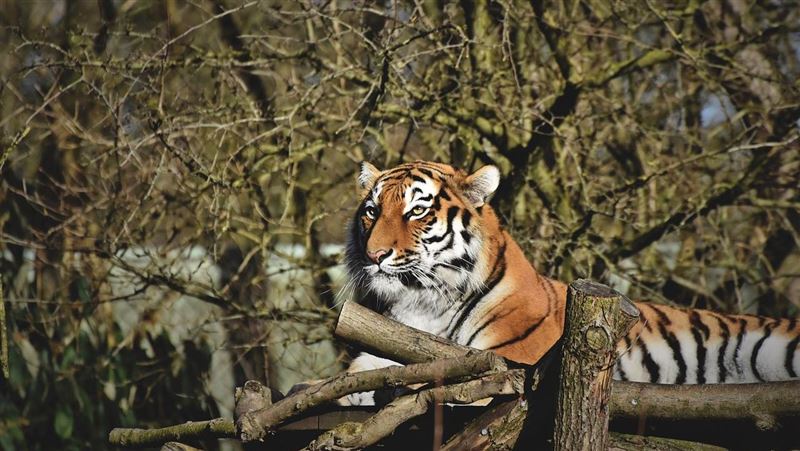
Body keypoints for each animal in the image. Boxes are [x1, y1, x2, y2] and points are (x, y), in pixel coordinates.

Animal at [340, 160, 800, 405]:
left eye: (417, 211)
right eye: (371, 211)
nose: (375, 255)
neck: (424, 302)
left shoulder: (508, 365)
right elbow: (356, 373)